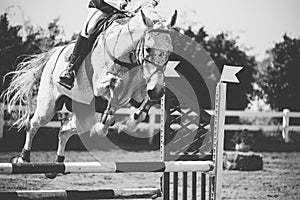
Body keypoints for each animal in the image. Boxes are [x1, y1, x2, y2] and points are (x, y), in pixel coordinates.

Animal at [2, 6, 176, 178]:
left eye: (169, 52)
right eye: (148, 49)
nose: (157, 91)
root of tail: (54, 54)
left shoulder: (140, 91)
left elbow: (145, 99)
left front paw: (131, 122)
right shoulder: (100, 86)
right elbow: (116, 84)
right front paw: (107, 124)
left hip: (84, 113)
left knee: (65, 130)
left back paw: (57, 164)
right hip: (48, 106)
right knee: (33, 124)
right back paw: (23, 159)